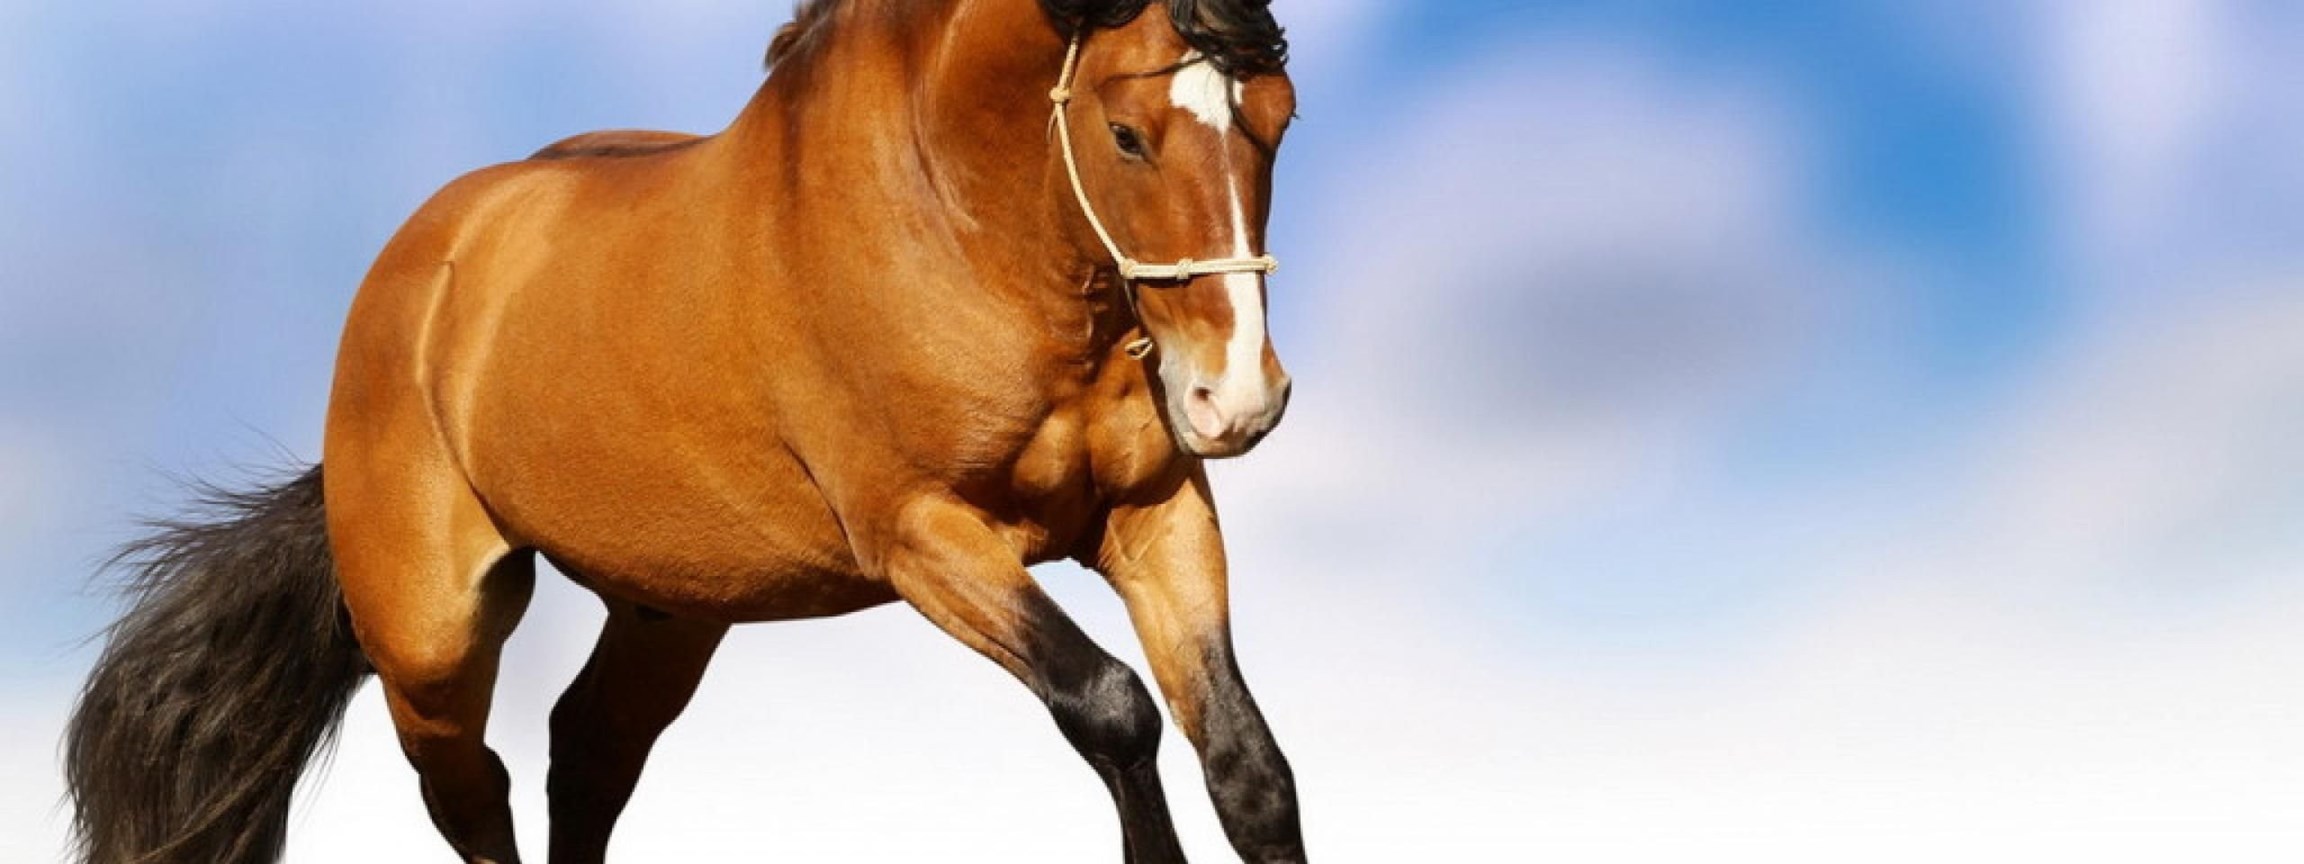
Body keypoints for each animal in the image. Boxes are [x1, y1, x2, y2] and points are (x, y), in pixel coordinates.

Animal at [64, 0, 1305, 861]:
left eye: (1279, 118)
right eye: (1127, 134)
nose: (1237, 399)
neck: (954, 226)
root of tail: (417, 276)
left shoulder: (1151, 516)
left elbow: (1247, 765)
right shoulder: (922, 535)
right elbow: (1112, 709)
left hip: (669, 608)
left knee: (586, 754)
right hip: (431, 642)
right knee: (471, 791)